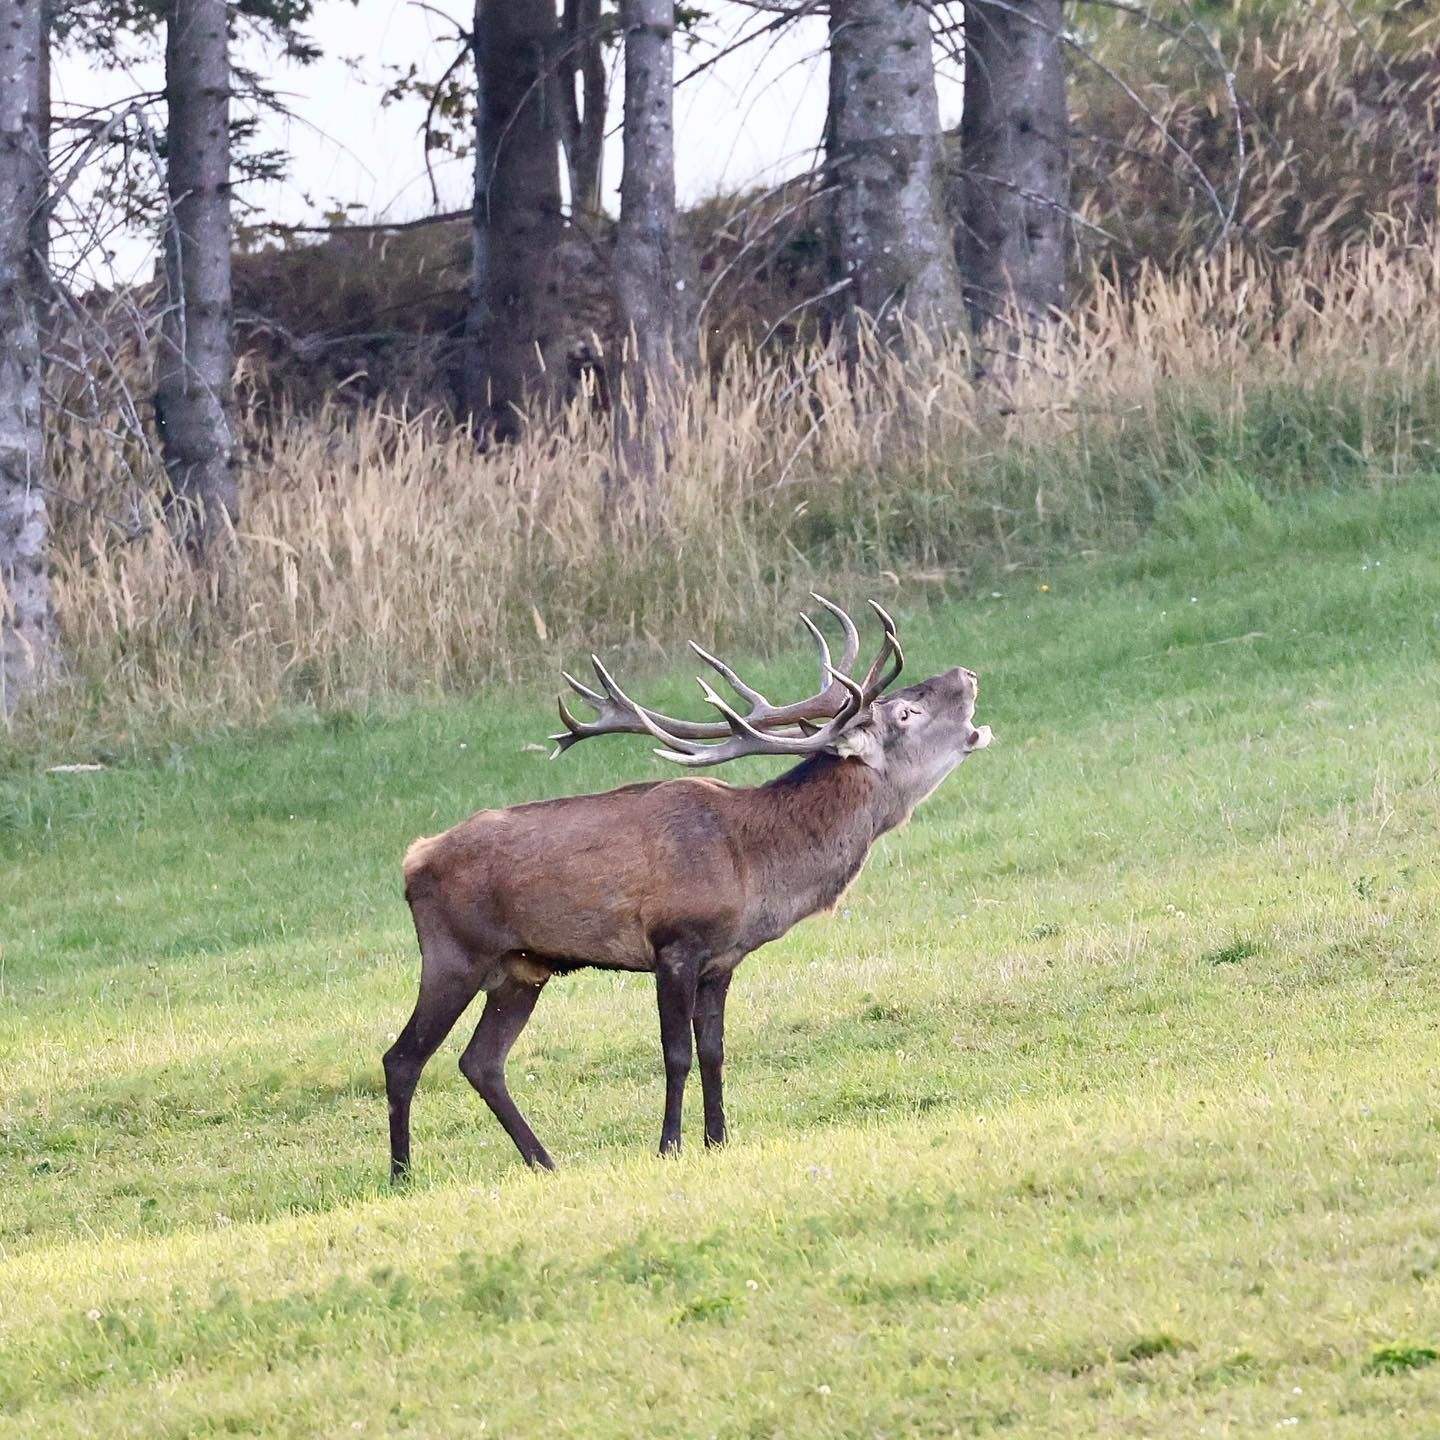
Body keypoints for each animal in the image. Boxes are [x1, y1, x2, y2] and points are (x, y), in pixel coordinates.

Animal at [386, 597, 991, 1179]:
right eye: (907, 712)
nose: (967, 674)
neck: (754, 864)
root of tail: (413, 860)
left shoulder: (723, 959)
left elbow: (715, 1050)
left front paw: (718, 1139)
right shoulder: (675, 944)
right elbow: (676, 1053)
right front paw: (669, 1146)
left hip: (521, 969)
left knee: (481, 1062)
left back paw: (543, 1162)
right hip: (455, 955)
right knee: (404, 1057)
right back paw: (402, 1174)